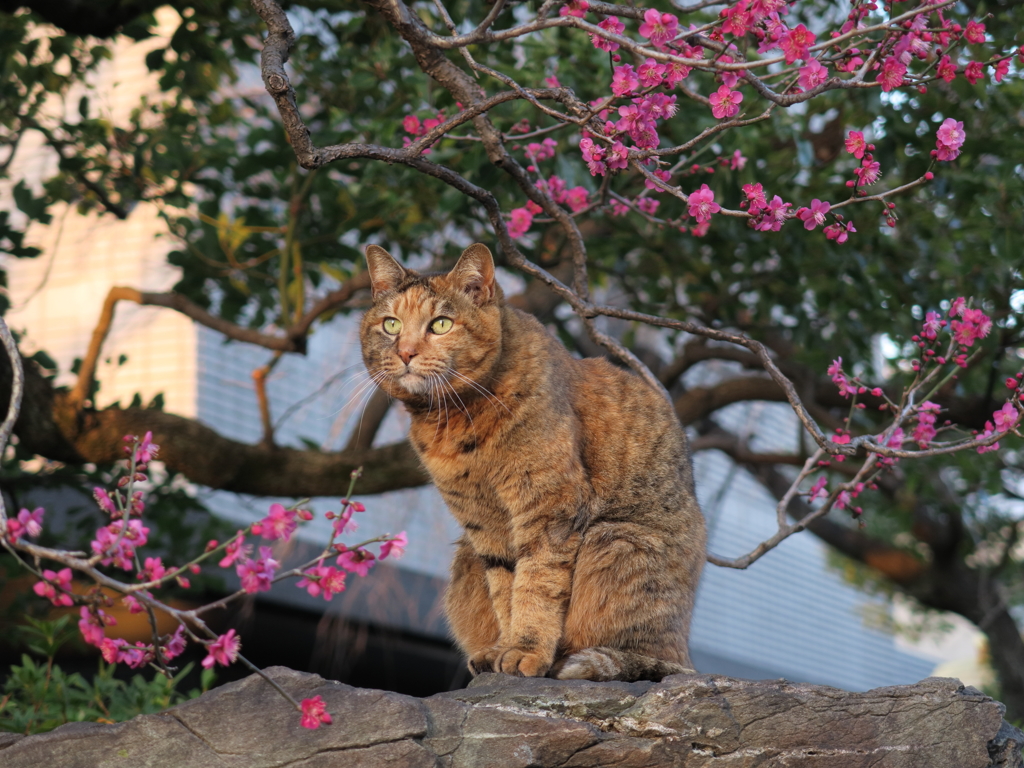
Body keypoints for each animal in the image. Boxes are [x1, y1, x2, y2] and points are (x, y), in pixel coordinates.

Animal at [360, 243, 704, 684]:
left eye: (440, 324)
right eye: (390, 324)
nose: (405, 353)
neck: (454, 420)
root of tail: (685, 652)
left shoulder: (550, 507)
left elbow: (536, 584)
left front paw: (526, 651)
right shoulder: (484, 524)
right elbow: (506, 587)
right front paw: (505, 648)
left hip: (613, 540)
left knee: (632, 656)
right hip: (468, 556)